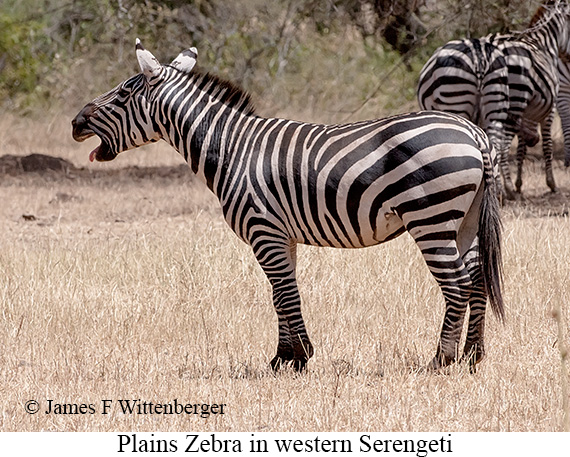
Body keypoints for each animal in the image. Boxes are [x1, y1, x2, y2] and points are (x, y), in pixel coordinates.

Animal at [71, 41, 502, 372]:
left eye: (122, 95)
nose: (75, 123)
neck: (231, 149)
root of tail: (473, 132)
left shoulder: (264, 231)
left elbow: (282, 294)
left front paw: (298, 358)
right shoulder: (282, 236)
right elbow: (281, 292)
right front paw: (285, 357)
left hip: (431, 218)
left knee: (456, 284)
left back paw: (441, 360)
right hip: (464, 220)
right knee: (477, 279)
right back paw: (473, 356)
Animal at [412, 0, 568, 197]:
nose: (534, 139)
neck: (543, 44)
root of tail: (478, 55)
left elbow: (522, 146)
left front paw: (519, 183)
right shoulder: (549, 108)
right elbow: (546, 145)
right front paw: (550, 184)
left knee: (492, 143)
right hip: (502, 102)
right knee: (500, 143)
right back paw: (505, 189)